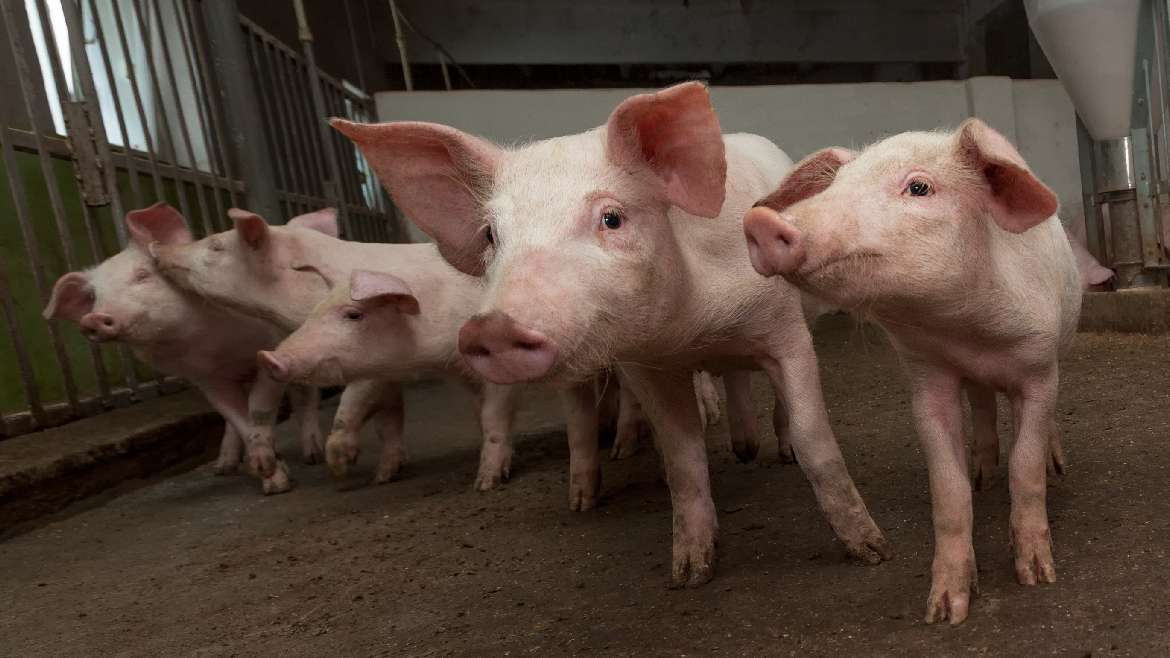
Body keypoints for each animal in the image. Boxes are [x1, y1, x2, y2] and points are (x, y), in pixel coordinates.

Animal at [329, 81, 884, 583]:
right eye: (491, 235)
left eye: (612, 219)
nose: (493, 328)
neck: (693, 325)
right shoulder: (647, 365)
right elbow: (682, 460)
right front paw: (689, 574)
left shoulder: (784, 330)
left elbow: (815, 437)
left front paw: (870, 550)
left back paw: (768, 451)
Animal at [744, 120, 1081, 622]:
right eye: (837, 184)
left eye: (919, 187)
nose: (761, 223)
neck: (969, 332)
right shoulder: (928, 377)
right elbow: (948, 489)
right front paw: (944, 612)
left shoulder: (1038, 368)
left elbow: (1025, 465)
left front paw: (1037, 577)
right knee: (983, 406)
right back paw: (983, 476)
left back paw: (1052, 463)